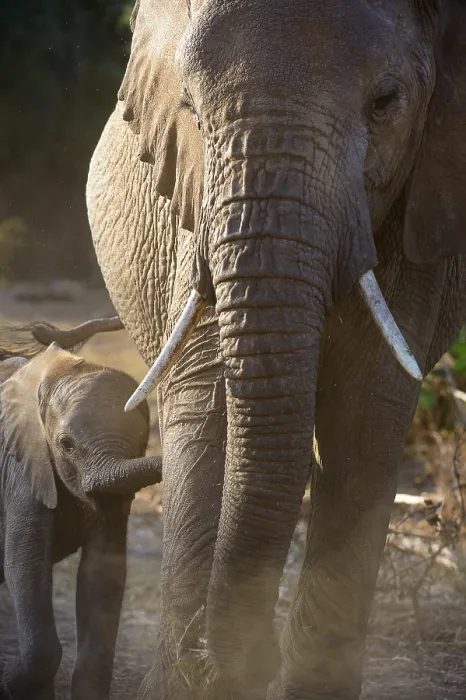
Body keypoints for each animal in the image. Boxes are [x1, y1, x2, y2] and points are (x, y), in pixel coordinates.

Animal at [0, 320, 162, 700]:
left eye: (142, 441)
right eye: (66, 445)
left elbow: (102, 574)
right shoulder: (22, 467)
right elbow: (24, 562)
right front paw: (10, 682)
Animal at [86, 1, 466, 698]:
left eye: (386, 102)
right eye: (189, 106)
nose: (253, 654)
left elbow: (365, 413)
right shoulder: (197, 201)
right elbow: (209, 397)